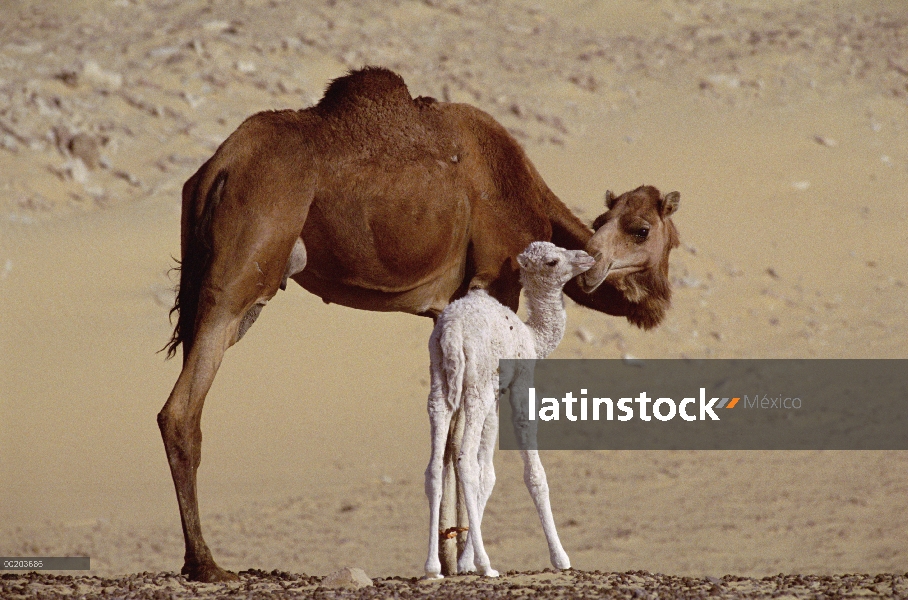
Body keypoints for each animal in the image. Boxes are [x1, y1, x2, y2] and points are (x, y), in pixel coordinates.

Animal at [422, 240, 592, 576]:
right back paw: (487, 566)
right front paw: (560, 558)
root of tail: (452, 330)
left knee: (435, 464)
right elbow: (533, 473)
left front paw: (465, 562)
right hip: (476, 385)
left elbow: (488, 473)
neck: (533, 336)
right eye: (552, 261)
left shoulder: (496, 394)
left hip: (441, 379)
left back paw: (433, 567)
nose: (587, 257)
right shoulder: (519, 382)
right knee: (464, 462)